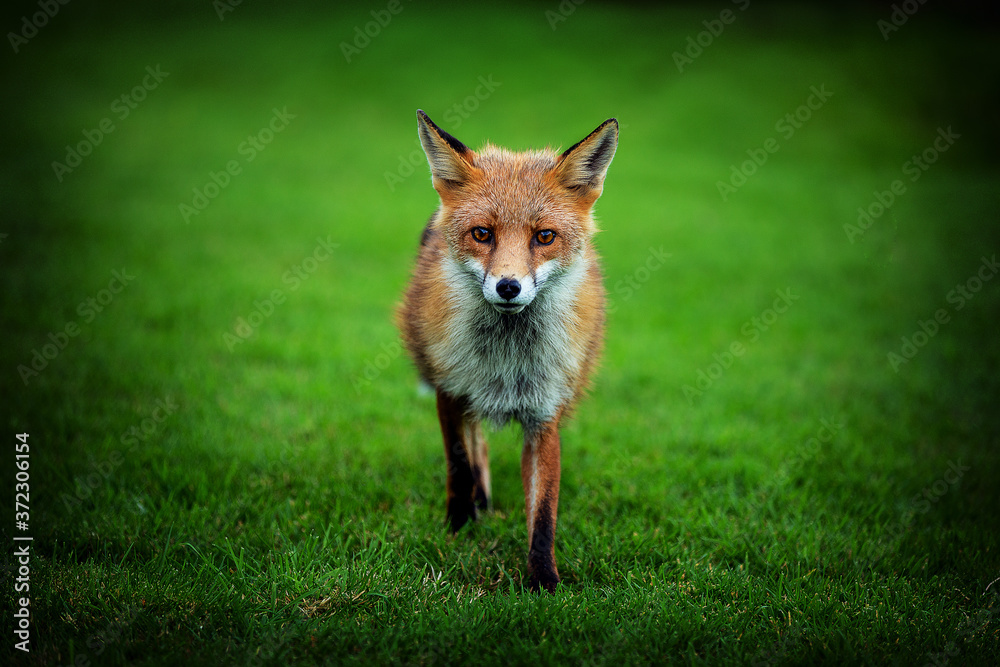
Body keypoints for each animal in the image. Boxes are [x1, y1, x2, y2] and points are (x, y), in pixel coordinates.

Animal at [397, 110, 618, 592]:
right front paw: (458, 526)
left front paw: (543, 581)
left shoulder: (545, 416)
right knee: (474, 440)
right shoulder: (449, 391)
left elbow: (544, 511)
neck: (507, 358)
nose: (508, 287)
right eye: (482, 234)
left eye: (544, 236)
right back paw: (478, 501)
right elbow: (459, 463)